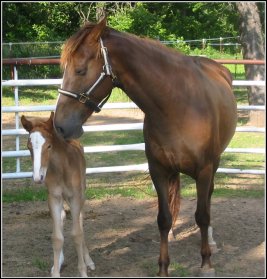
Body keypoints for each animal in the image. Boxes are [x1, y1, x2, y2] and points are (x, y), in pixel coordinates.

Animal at [21, 112, 96, 278]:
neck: (61, 168)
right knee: (62, 217)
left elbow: (77, 234)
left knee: (80, 220)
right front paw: (55, 271)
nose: (38, 177)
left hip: (81, 193)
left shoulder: (75, 197)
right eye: (29, 147)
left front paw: (83, 271)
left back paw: (89, 260)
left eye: (49, 146)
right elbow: (56, 237)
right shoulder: (54, 197)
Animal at [53, 18, 238, 276]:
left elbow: (202, 215)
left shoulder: (204, 170)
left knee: (208, 199)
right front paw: (163, 268)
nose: (60, 126)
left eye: (80, 70)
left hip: (215, 164)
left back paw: (210, 241)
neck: (178, 105)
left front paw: (206, 264)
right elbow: (163, 218)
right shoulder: (157, 170)